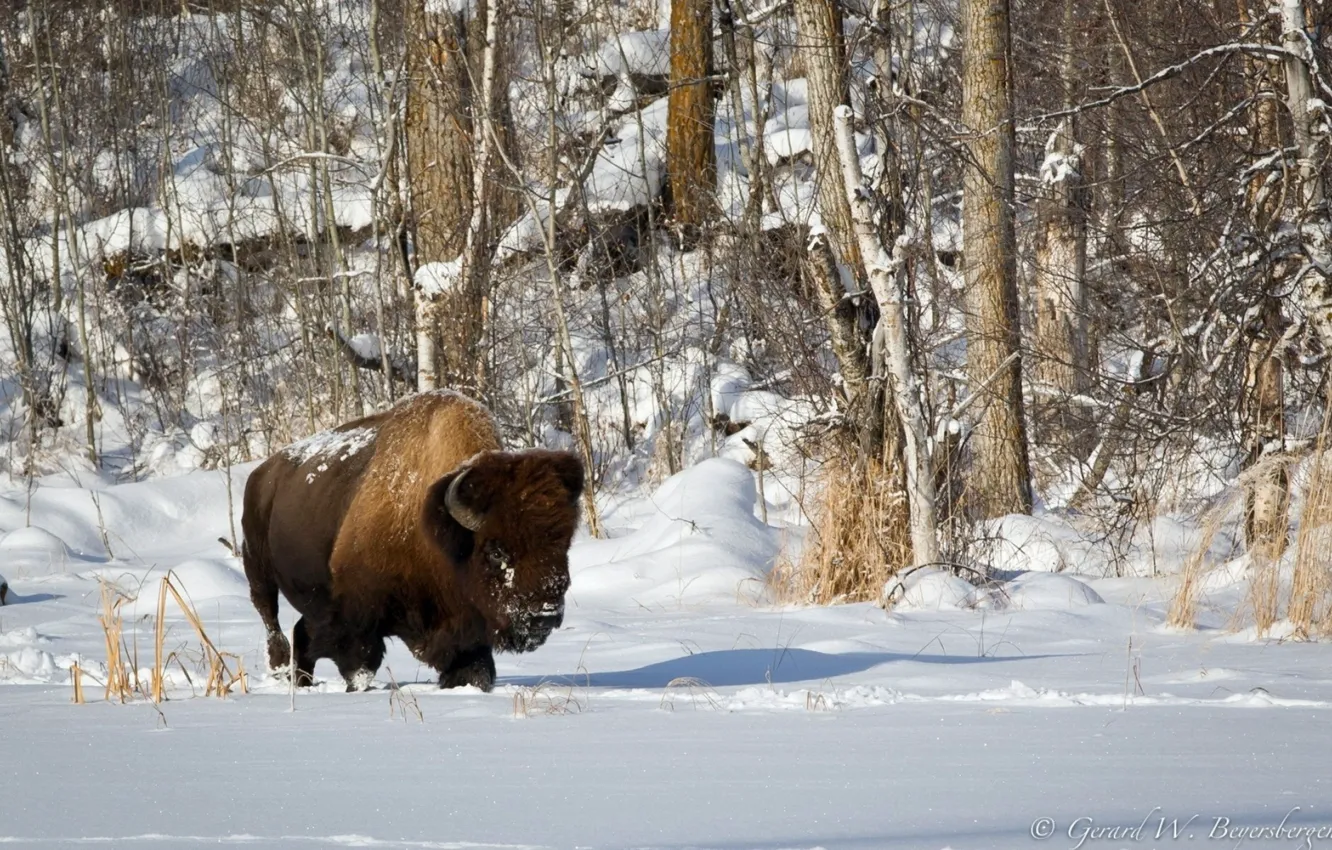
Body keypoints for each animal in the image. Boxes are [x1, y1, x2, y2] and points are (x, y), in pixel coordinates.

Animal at [240, 390, 583, 692]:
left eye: (563, 545)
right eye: (496, 551)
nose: (545, 614)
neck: (433, 531)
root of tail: (261, 474)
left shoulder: (466, 634)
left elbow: (474, 672)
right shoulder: (356, 622)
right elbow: (360, 668)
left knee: (302, 633)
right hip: (258, 570)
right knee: (271, 618)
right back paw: (283, 670)